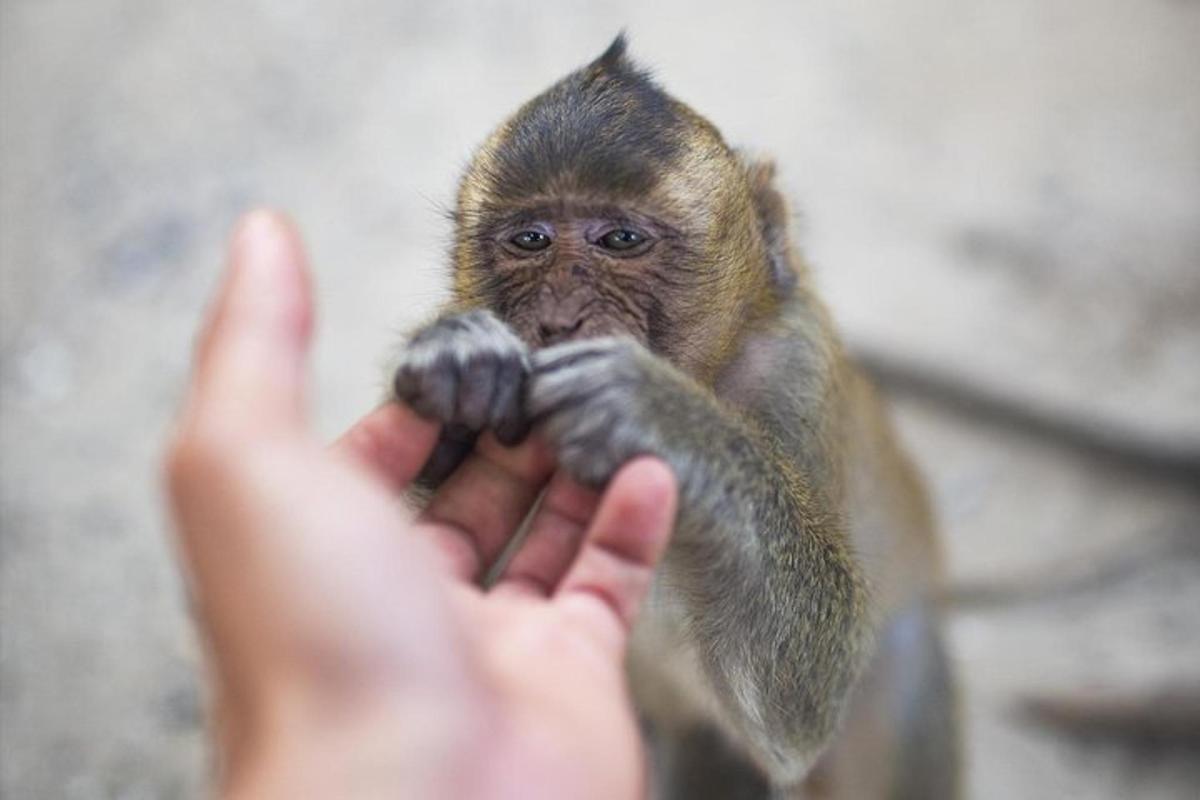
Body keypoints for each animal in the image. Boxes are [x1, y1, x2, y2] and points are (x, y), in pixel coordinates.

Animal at [388, 37, 960, 800]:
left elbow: (797, 716)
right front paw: (460, 362)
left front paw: (661, 418)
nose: (559, 319)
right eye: (531, 240)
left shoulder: (795, 373)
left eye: (621, 239)